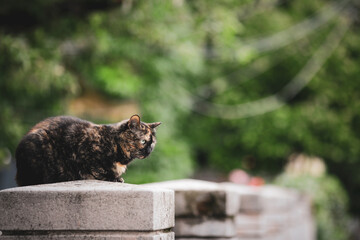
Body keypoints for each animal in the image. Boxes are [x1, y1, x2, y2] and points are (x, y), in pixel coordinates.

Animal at [15, 115, 161, 187]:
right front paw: (114, 178)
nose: (149, 151)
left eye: (152, 143)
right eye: (143, 141)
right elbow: (98, 171)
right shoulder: (85, 156)